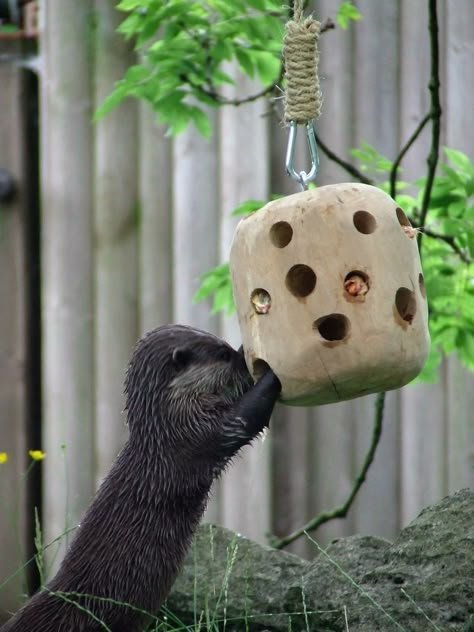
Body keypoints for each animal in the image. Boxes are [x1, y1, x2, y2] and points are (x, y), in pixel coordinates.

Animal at [1, 324, 282, 628]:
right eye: (223, 355)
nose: (242, 359)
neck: (165, 427)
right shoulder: (196, 434)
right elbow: (244, 418)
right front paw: (271, 375)